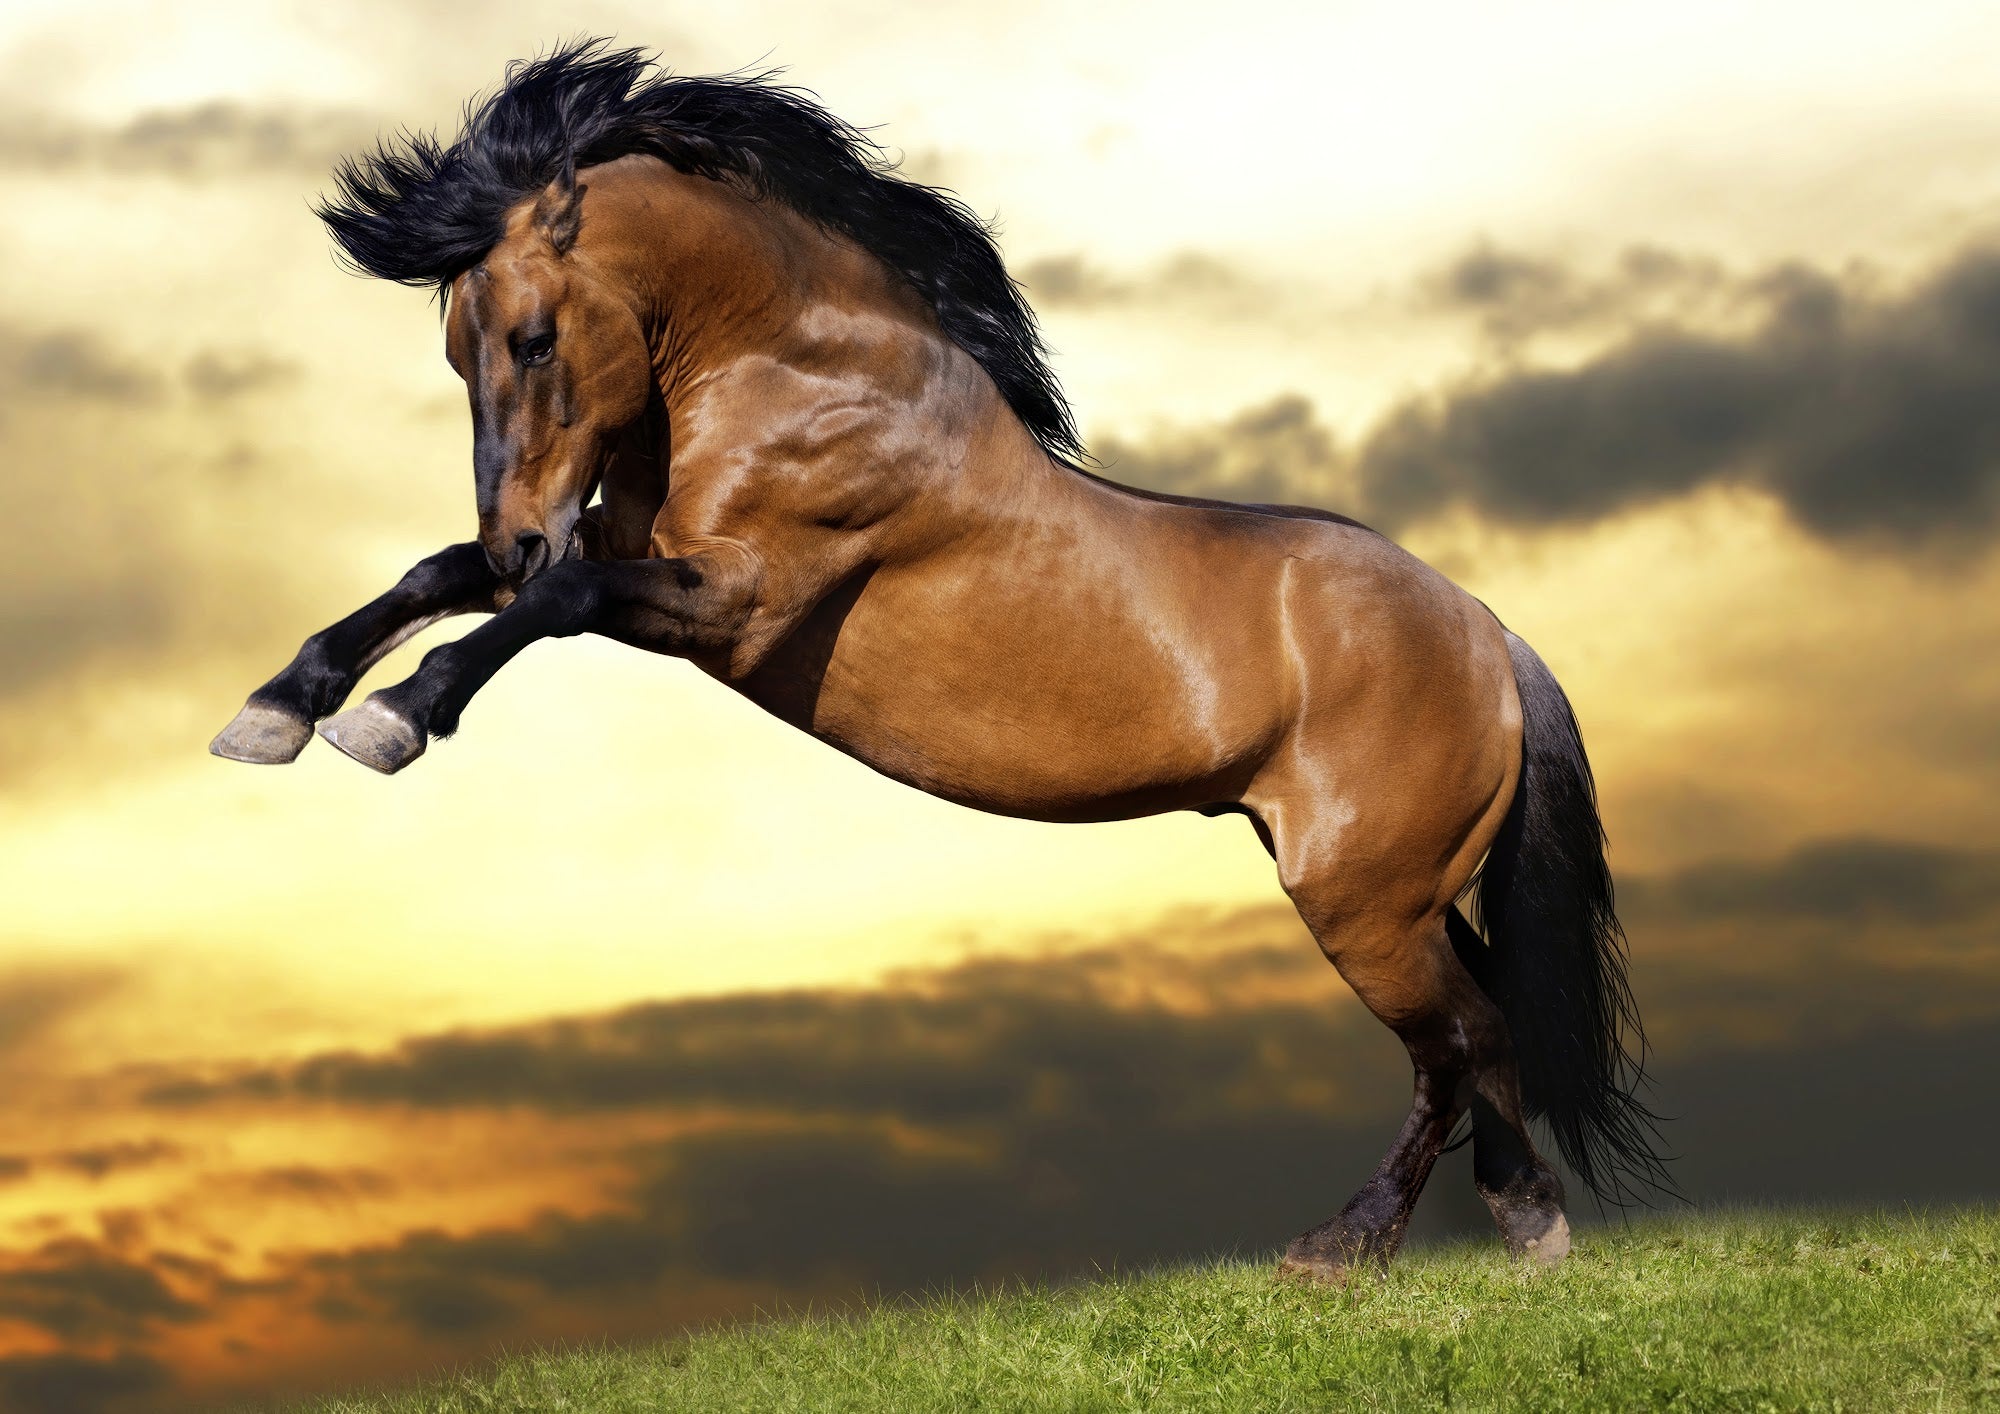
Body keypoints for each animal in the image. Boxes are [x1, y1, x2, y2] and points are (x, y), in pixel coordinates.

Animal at [210, 41, 1669, 1281]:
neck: (790, 370)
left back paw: (1363, 1243)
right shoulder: (627, 557)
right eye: (458, 349)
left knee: (1458, 1040)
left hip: (1359, 898)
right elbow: (439, 578)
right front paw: (275, 712)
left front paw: (394, 718)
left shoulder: (731, 600)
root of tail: (1486, 630)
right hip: (1399, 889)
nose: (516, 525)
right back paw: (1507, 1225)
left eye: (530, 338)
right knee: (1478, 1032)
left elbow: (544, 601)